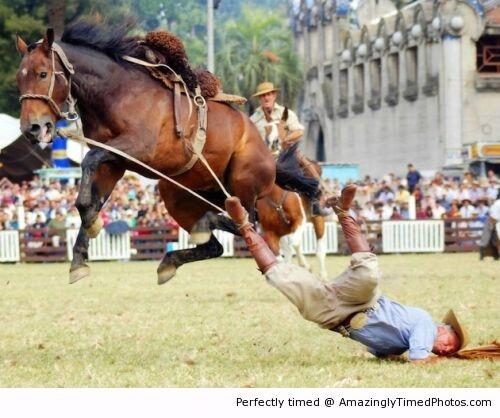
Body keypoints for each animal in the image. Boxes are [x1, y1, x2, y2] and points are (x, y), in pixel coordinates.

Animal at [17, 22, 318, 284]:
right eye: (19, 78)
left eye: (42, 73)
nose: (32, 127)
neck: (119, 93)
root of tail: (270, 159)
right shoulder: (114, 162)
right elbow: (89, 198)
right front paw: (81, 256)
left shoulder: (137, 149)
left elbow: (89, 162)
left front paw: (90, 228)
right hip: (178, 194)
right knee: (216, 244)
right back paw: (171, 259)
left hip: (242, 186)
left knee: (246, 224)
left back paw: (208, 224)